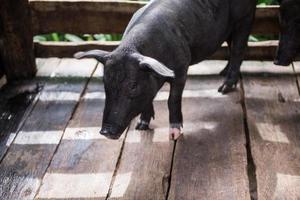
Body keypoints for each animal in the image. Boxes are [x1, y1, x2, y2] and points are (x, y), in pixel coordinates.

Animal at [75, 0, 255, 140]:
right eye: (106, 84)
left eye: (133, 86)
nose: (105, 131)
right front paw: (141, 126)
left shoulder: (182, 68)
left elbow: (172, 100)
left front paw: (174, 135)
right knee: (231, 45)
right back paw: (222, 73)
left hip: (245, 16)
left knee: (239, 49)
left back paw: (223, 89)